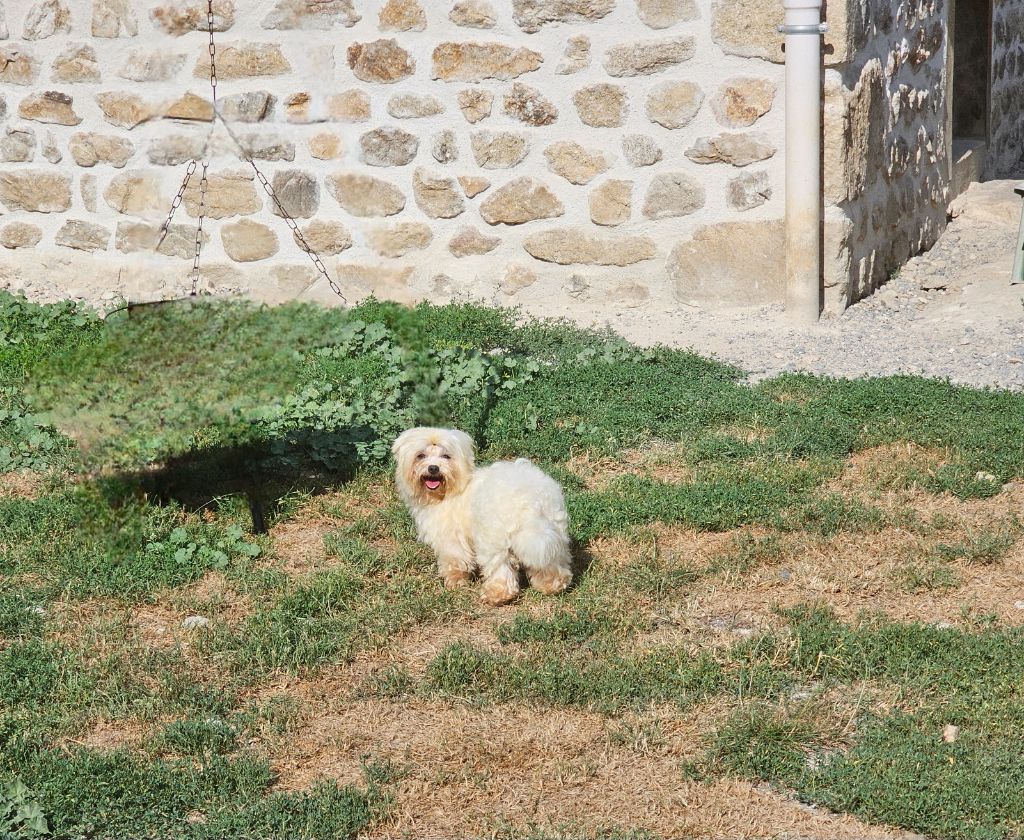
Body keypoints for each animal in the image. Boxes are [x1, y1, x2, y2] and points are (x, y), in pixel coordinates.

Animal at [391, 426, 573, 602]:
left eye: (446, 456)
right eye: (420, 455)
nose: (433, 468)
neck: (452, 490)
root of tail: (530, 500)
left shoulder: (451, 537)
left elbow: (456, 559)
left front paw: (455, 580)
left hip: (493, 539)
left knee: (500, 566)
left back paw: (497, 594)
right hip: (551, 531)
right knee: (552, 562)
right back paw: (551, 585)